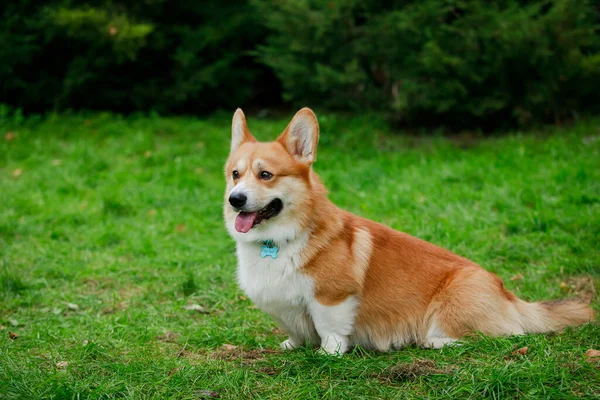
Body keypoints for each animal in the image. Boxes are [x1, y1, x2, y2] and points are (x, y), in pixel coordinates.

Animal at [225, 108, 596, 354]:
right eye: (235, 174)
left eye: (266, 175)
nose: (235, 199)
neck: (278, 239)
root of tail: (509, 296)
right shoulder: (284, 306)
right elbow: (296, 329)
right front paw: (292, 345)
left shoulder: (333, 298)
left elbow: (331, 330)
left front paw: (326, 355)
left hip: (454, 302)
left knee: (505, 334)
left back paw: (434, 340)